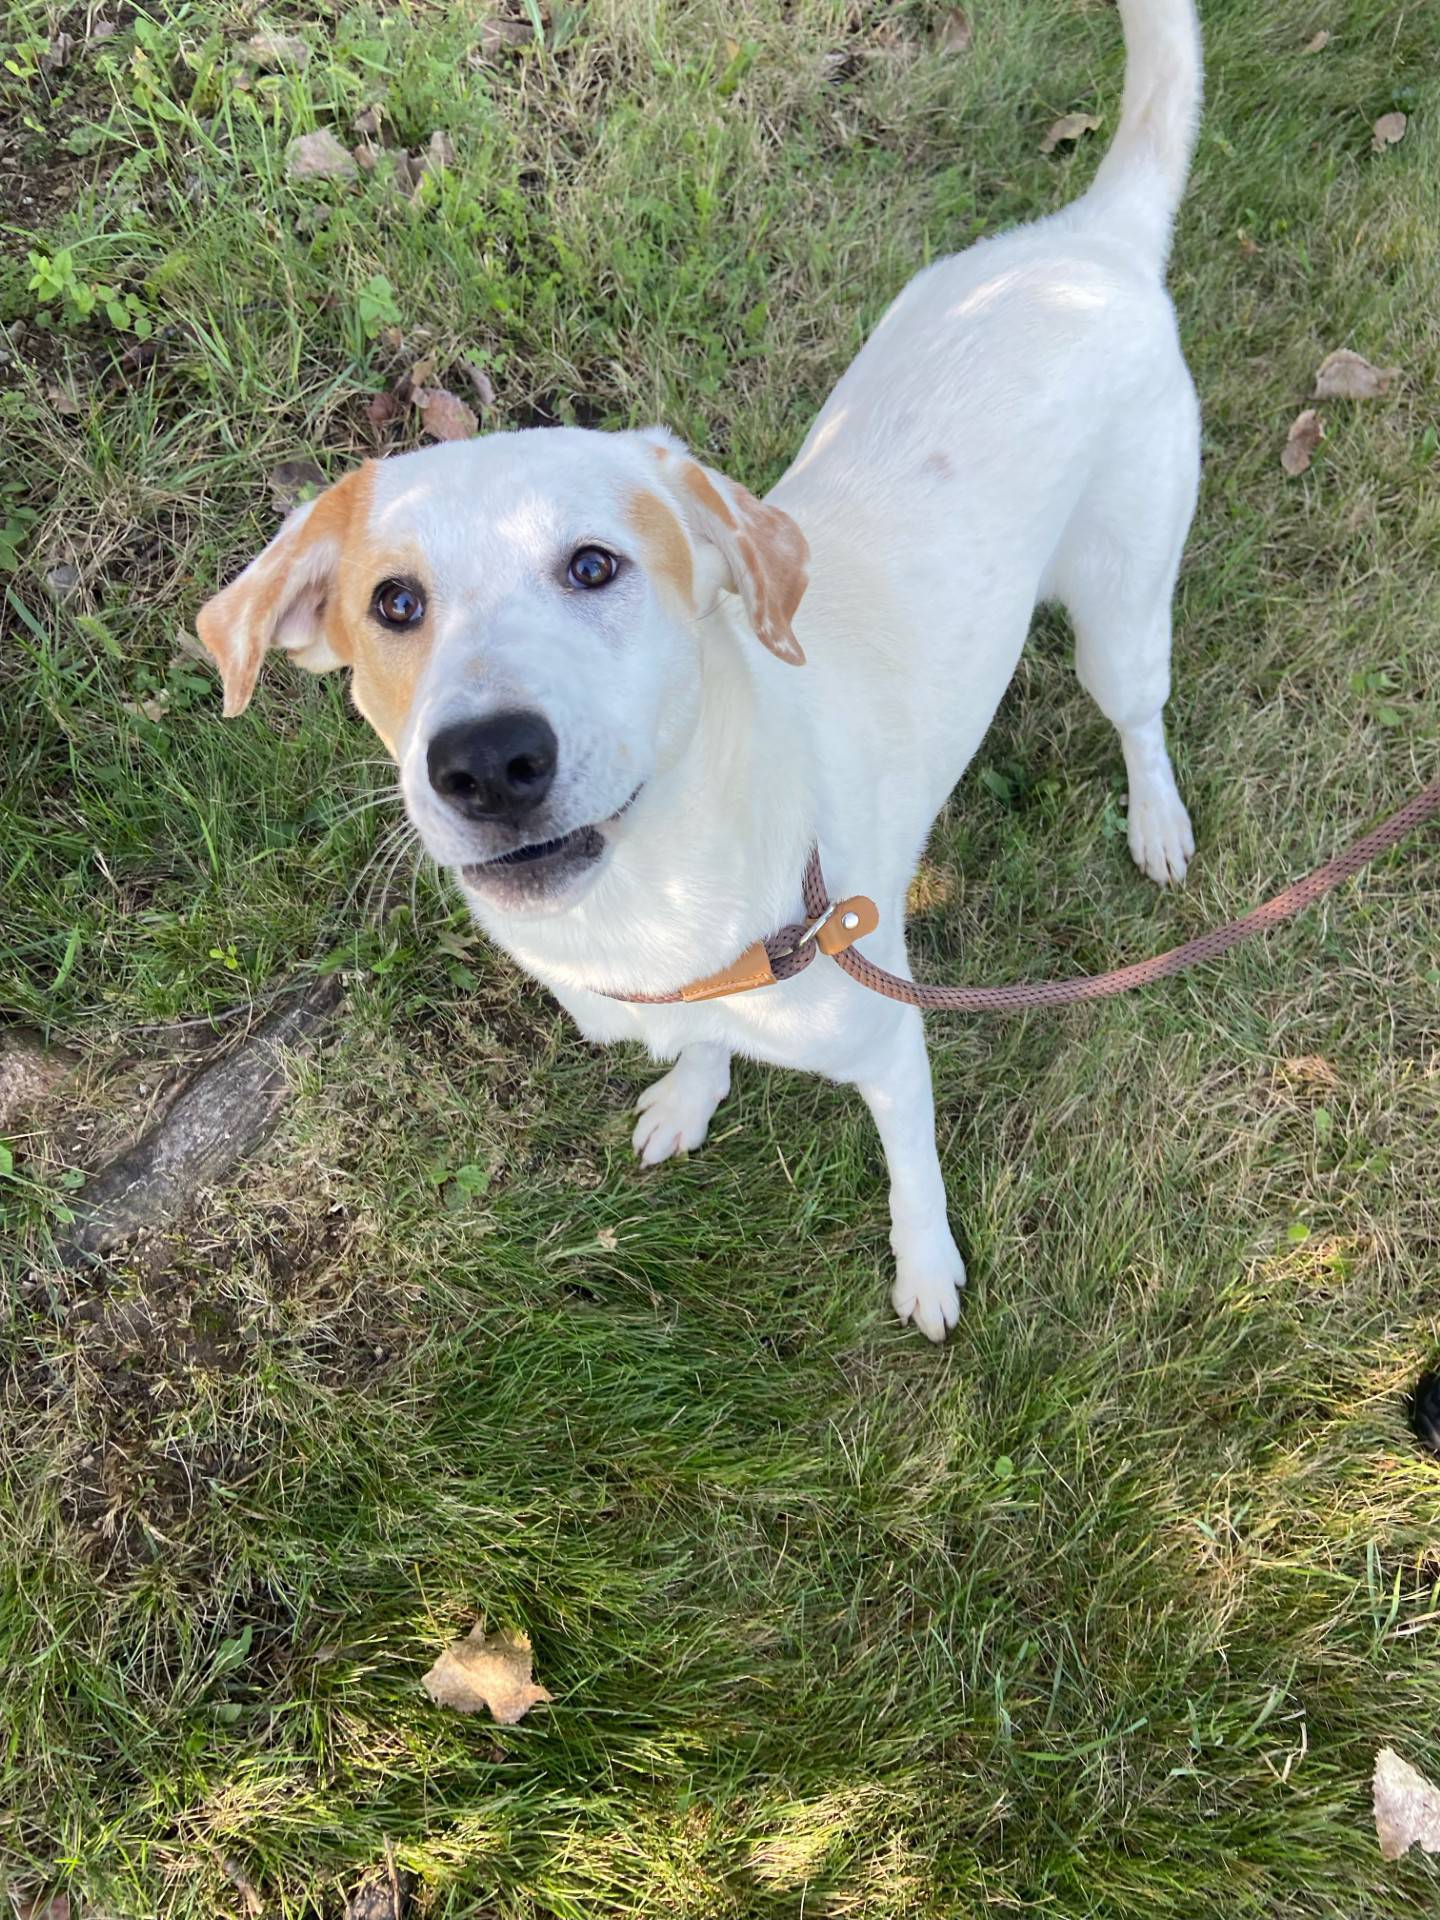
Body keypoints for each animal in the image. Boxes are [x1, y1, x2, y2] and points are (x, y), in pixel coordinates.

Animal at [194, 0, 1205, 1336]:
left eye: (594, 566)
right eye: (392, 603)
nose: (487, 764)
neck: (653, 908)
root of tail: (1086, 242)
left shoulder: (891, 1044)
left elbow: (913, 1173)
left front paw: (926, 1268)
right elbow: (702, 1047)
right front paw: (692, 1089)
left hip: (1120, 610)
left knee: (1138, 713)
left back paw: (1156, 819)